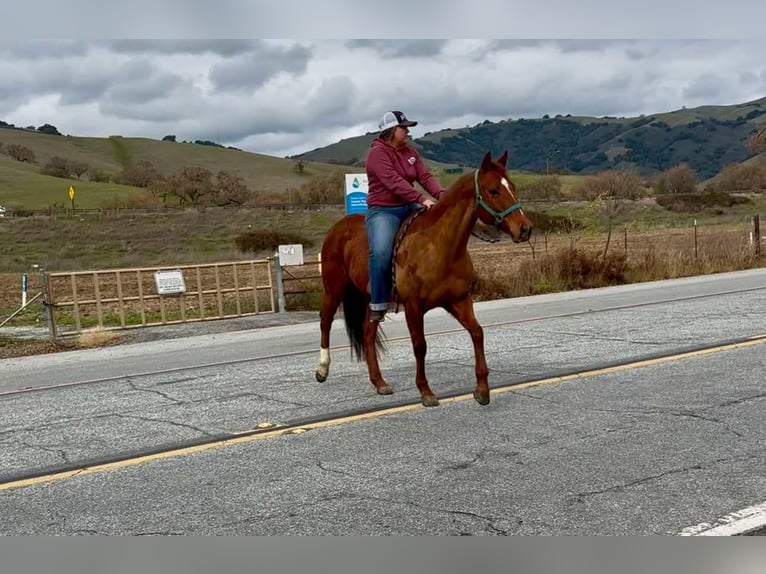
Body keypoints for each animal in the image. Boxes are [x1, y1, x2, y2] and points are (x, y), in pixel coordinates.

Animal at [314, 150, 532, 407]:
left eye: (513, 187)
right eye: (493, 190)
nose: (525, 229)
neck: (438, 246)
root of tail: (337, 228)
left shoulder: (459, 301)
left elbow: (477, 333)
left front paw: (482, 389)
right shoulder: (413, 307)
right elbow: (420, 345)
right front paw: (425, 391)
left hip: (373, 300)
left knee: (367, 334)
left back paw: (379, 382)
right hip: (334, 289)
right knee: (325, 322)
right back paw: (322, 369)